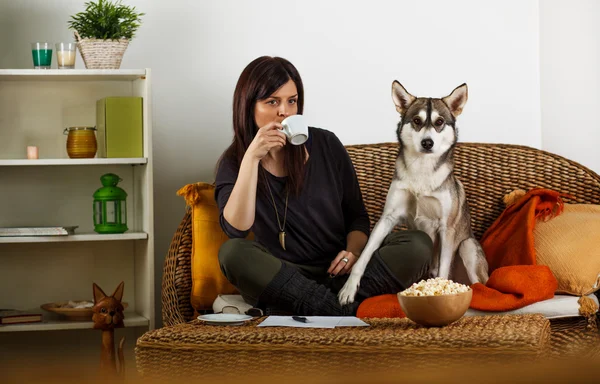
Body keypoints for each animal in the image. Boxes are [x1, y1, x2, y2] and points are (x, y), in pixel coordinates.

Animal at [338, 82, 488, 306]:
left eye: (439, 122)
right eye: (417, 120)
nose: (427, 143)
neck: (422, 173)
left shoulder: (446, 228)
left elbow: (443, 269)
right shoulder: (388, 218)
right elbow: (364, 255)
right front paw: (349, 288)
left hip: (467, 246)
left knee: (479, 283)